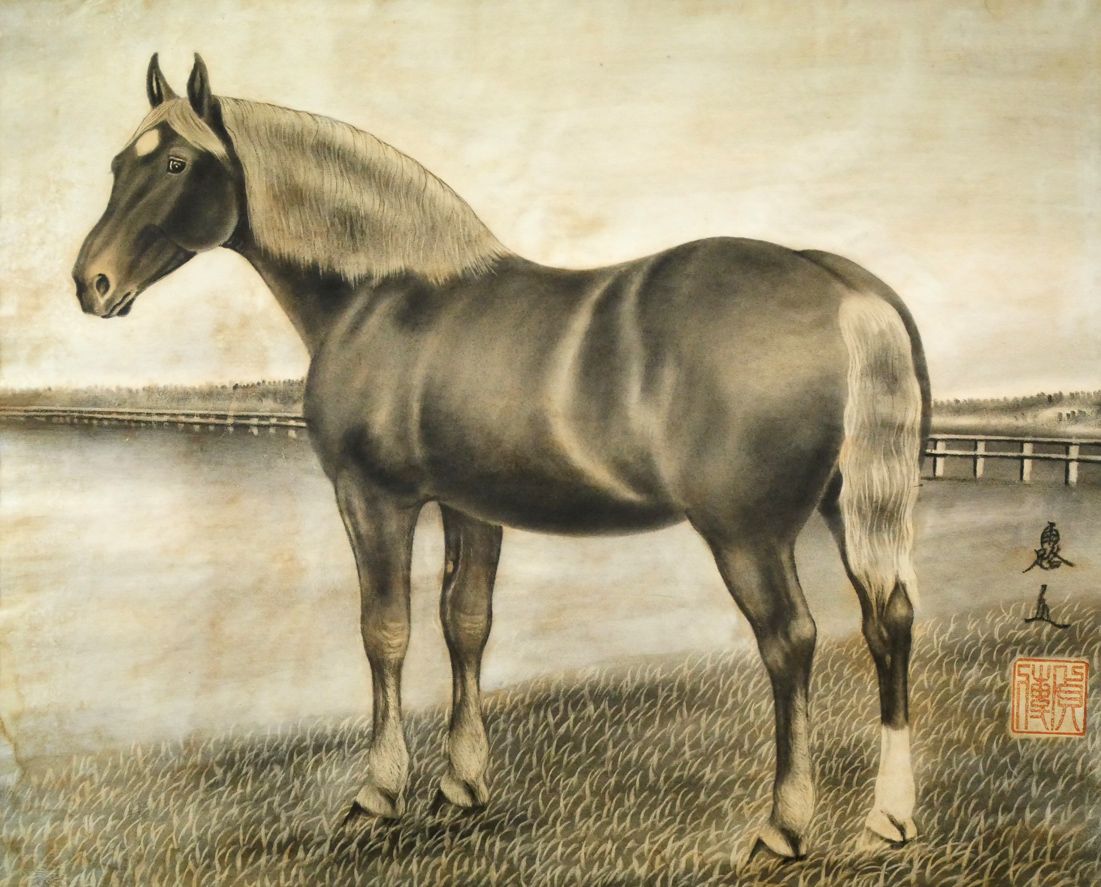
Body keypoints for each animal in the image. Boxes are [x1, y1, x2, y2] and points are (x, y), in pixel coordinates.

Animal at [73, 54, 930, 860]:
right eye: (117, 163)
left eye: (176, 162)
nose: (92, 283)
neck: (388, 294)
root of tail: (839, 289)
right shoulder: (470, 507)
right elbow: (466, 623)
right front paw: (462, 782)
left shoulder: (373, 497)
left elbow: (385, 630)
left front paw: (379, 791)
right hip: (848, 510)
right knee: (887, 620)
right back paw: (889, 817)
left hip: (747, 533)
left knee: (790, 641)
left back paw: (784, 825)